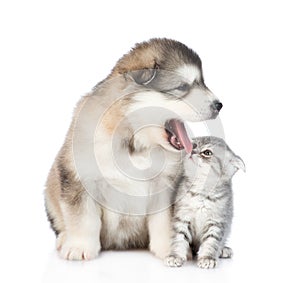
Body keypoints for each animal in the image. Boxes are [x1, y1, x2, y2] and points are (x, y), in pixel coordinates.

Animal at [45, 38, 223, 260]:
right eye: (182, 86)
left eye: (203, 83)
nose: (219, 105)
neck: (137, 143)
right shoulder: (80, 178)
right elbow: (83, 218)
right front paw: (80, 247)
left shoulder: (165, 185)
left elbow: (165, 221)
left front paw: (169, 249)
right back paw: (63, 239)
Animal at [165, 136, 245, 270]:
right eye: (193, 145)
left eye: (207, 152)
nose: (192, 151)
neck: (201, 193)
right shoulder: (182, 217)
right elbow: (179, 238)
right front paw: (175, 256)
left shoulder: (217, 221)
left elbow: (211, 241)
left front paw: (207, 258)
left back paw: (223, 250)